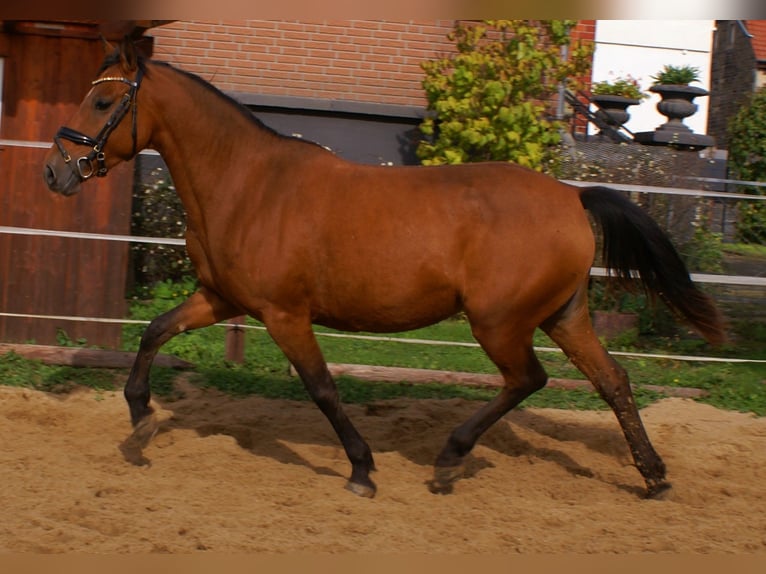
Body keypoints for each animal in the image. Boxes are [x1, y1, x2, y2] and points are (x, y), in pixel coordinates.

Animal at [42, 39, 728, 500]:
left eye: (103, 98)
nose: (54, 172)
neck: (247, 183)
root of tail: (571, 195)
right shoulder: (221, 298)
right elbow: (155, 330)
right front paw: (140, 420)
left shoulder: (284, 314)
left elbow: (322, 387)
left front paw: (362, 469)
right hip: (564, 314)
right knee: (613, 381)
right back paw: (654, 477)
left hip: (499, 321)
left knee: (528, 379)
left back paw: (450, 459)